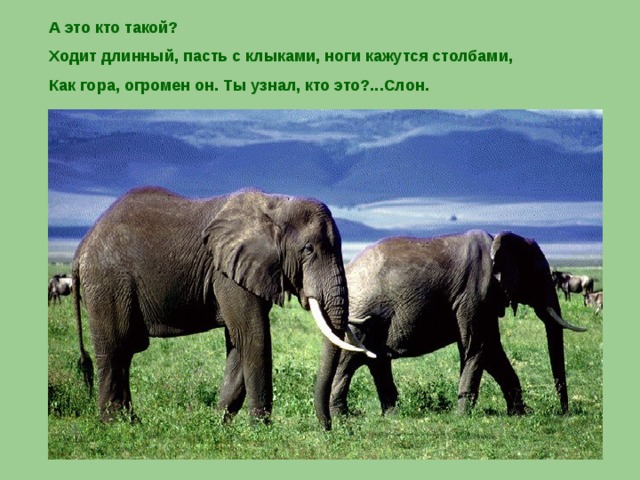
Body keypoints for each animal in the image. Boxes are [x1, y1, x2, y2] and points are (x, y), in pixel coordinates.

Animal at [72, 186, 374, 424]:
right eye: (308, 250)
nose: (327, 427)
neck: (275, 205)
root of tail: (84, 243)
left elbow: (238, 342)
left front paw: (219, 423)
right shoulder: (227, 273)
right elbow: (254, 336)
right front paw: (260, 430)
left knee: (125, 351)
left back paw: (132, 422)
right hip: (108, 281)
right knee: (116, 346)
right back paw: (116, 424)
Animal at [315, 230, 587, 428]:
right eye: (541, 275)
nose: (564, 413)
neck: (498, 242)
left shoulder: (484, 301)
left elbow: (492, 351)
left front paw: (519, 413)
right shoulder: (475, 294)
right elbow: (478, 346)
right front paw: (464, 415)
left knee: (378, 361)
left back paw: (392, 415)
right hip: (359, 319)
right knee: (350, 362)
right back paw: (343, 416)